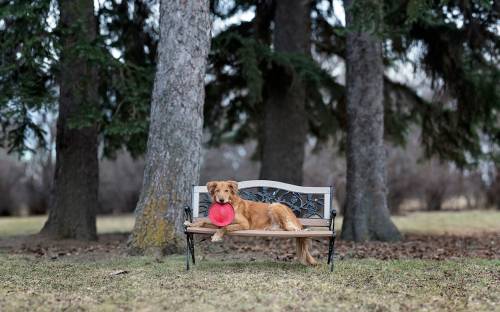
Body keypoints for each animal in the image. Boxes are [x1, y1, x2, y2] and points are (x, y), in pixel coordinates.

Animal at [184, 180, 316, 266]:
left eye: (226, 191)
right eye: (217, 190)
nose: (221, 200)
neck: (231, 203)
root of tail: (295, 217)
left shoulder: (244, 224)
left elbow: (225, 227)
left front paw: (216, 236)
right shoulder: (217, 224)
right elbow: (203, 222)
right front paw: (190, 224)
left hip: (275, 206)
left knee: (291, 228)